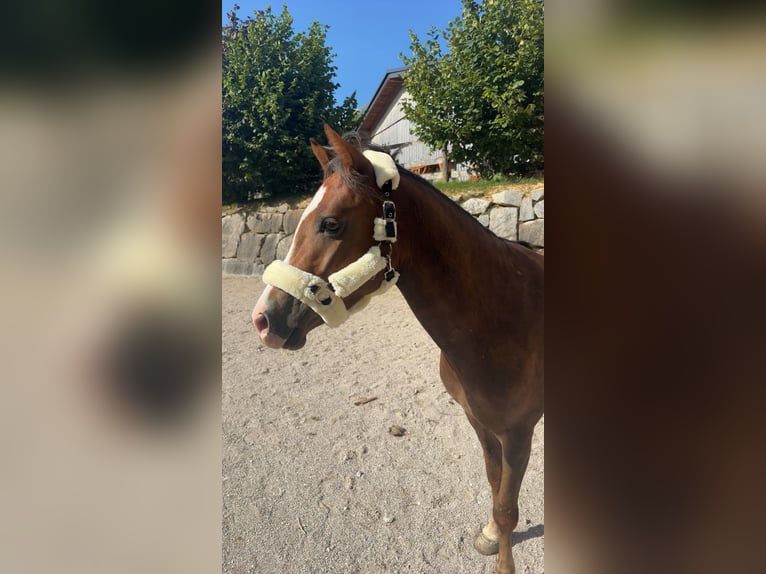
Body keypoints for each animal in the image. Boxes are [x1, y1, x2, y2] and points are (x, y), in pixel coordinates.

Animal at [252, 124, 544, 574]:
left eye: (331, 224)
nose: (263, 320)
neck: (505, 315)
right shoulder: (480, 423)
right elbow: (495, 488)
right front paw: (491, 535)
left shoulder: (517, 433)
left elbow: (508, 507)